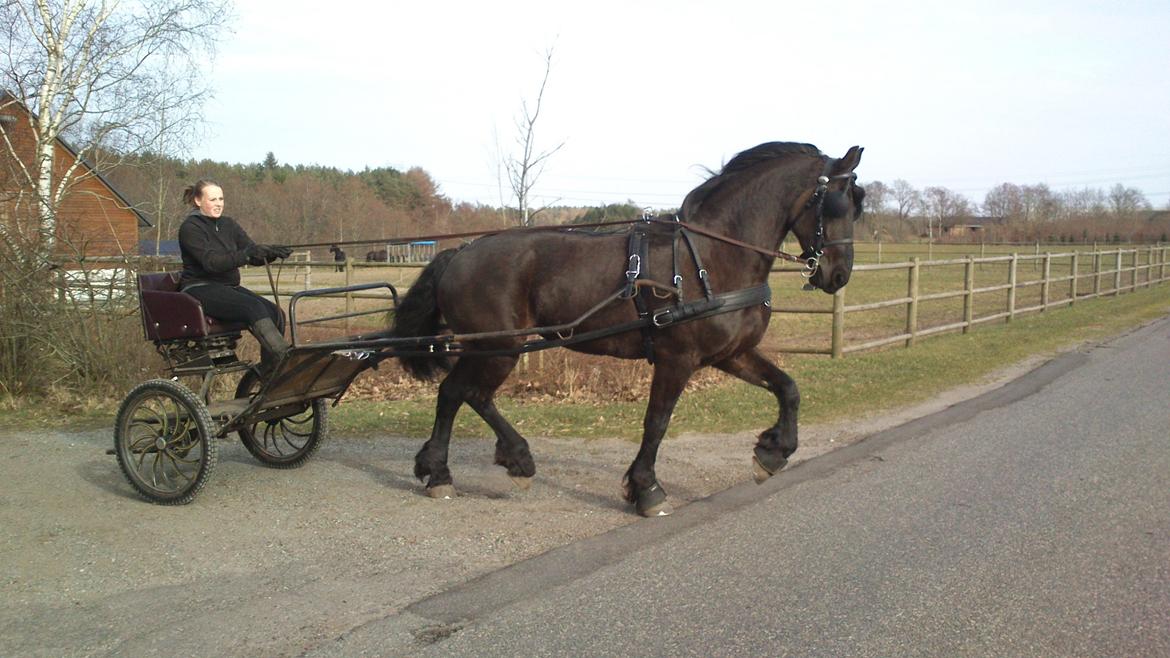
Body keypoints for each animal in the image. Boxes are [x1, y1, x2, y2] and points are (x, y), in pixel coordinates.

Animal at [390, 141, 861, 515]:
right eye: (836, 204)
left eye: (856, 205)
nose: (838, 275)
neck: (712, 256)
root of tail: (461, 251)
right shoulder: (677, 359)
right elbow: (657, 422)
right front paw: (646, 489)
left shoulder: (730, 354)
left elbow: (788, 388)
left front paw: (773, 452)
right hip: (499, 348)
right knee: (467, 393)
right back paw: (495, 463)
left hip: (491, 349)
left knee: (456, 393)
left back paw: (447, 470)